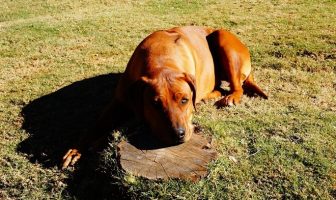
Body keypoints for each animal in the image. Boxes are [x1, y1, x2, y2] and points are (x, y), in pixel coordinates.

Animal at [61, 25, 268, 169]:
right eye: (155, 105)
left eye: (184, 100)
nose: (178, 134)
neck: (161, 58)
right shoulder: (120, 100)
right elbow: (97, 125)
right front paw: (78, 148)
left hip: (222, 37)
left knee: (237, 86)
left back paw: (230, 97)